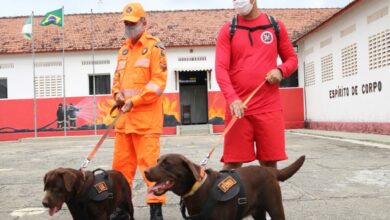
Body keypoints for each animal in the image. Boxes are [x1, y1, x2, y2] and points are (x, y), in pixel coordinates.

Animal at [145, 154, 306, 219]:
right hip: (258, 211)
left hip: (275, 207)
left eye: (166, 164)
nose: (145, 171)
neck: (198, 189)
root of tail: (270, 170)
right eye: (158, 161)